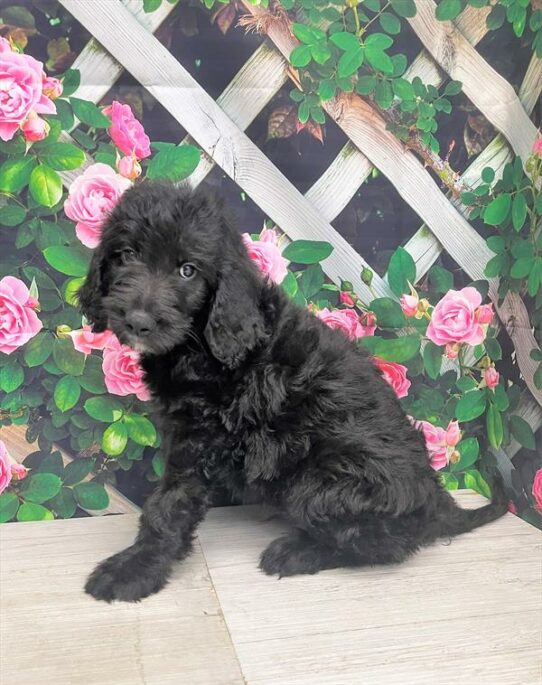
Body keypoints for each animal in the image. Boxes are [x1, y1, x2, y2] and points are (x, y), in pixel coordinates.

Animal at [78, 180, 508, 600]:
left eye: (187, 270)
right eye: (127, 254)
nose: (138, 321)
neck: (201, 341)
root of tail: (435, 502)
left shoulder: (199, 437)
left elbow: (168, 503)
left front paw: (135, 570)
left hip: (319, 482)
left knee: (386, 544)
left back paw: (297, 552)